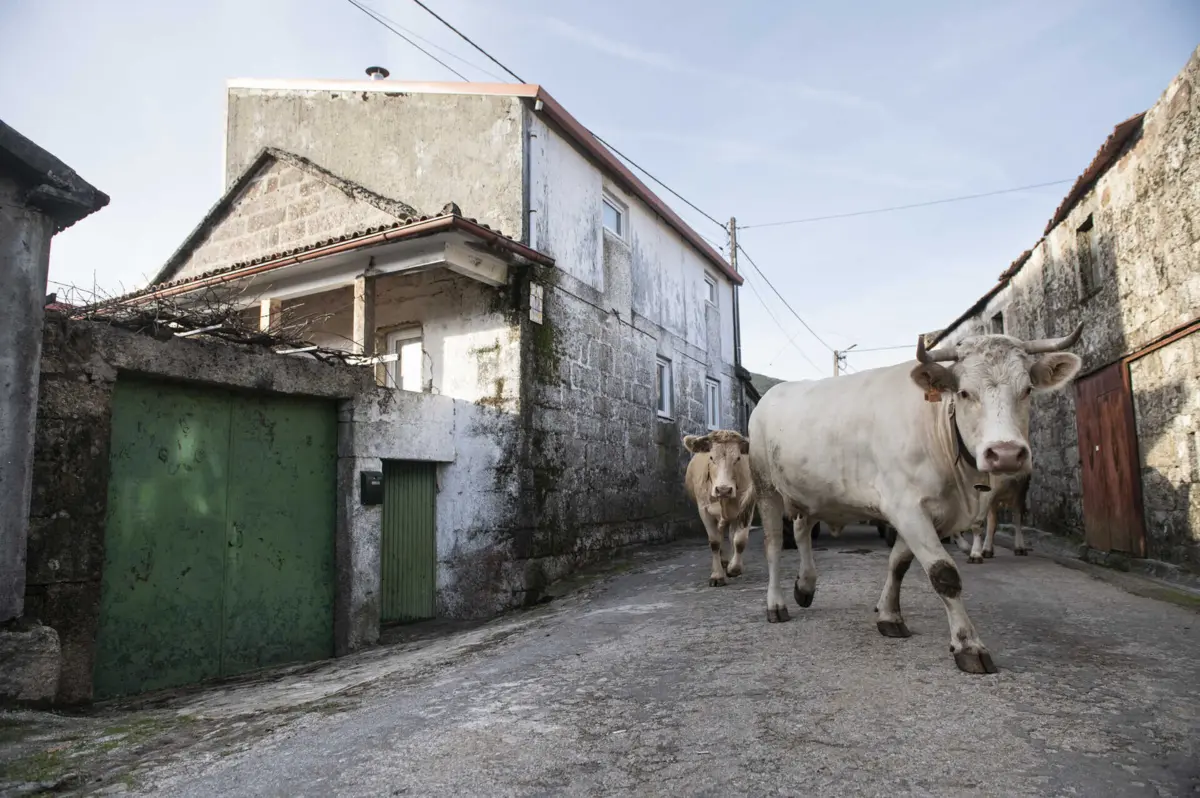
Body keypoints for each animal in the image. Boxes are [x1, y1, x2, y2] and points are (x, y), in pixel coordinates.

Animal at [684, 430, 755, 587]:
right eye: (711, 457)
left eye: (738, 458)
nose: (723, 490)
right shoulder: (704, 510)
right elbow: (715, 542)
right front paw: (717, 575)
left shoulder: (747, 506)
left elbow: (740, 540)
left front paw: (734, 568)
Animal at [749, 325, 1083, 674]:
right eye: (965, 393)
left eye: (1027, 389)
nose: (1005, 453)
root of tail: (774, 394)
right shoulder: (906, 507)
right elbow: (943, 573)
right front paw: (968, 644)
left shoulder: (926, 512)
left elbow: (899, 563)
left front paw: (889, 616)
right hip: (766, 487)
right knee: (774, 544)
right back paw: (776, 604)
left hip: (811, 492)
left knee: (802, 531)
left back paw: (805, 586)